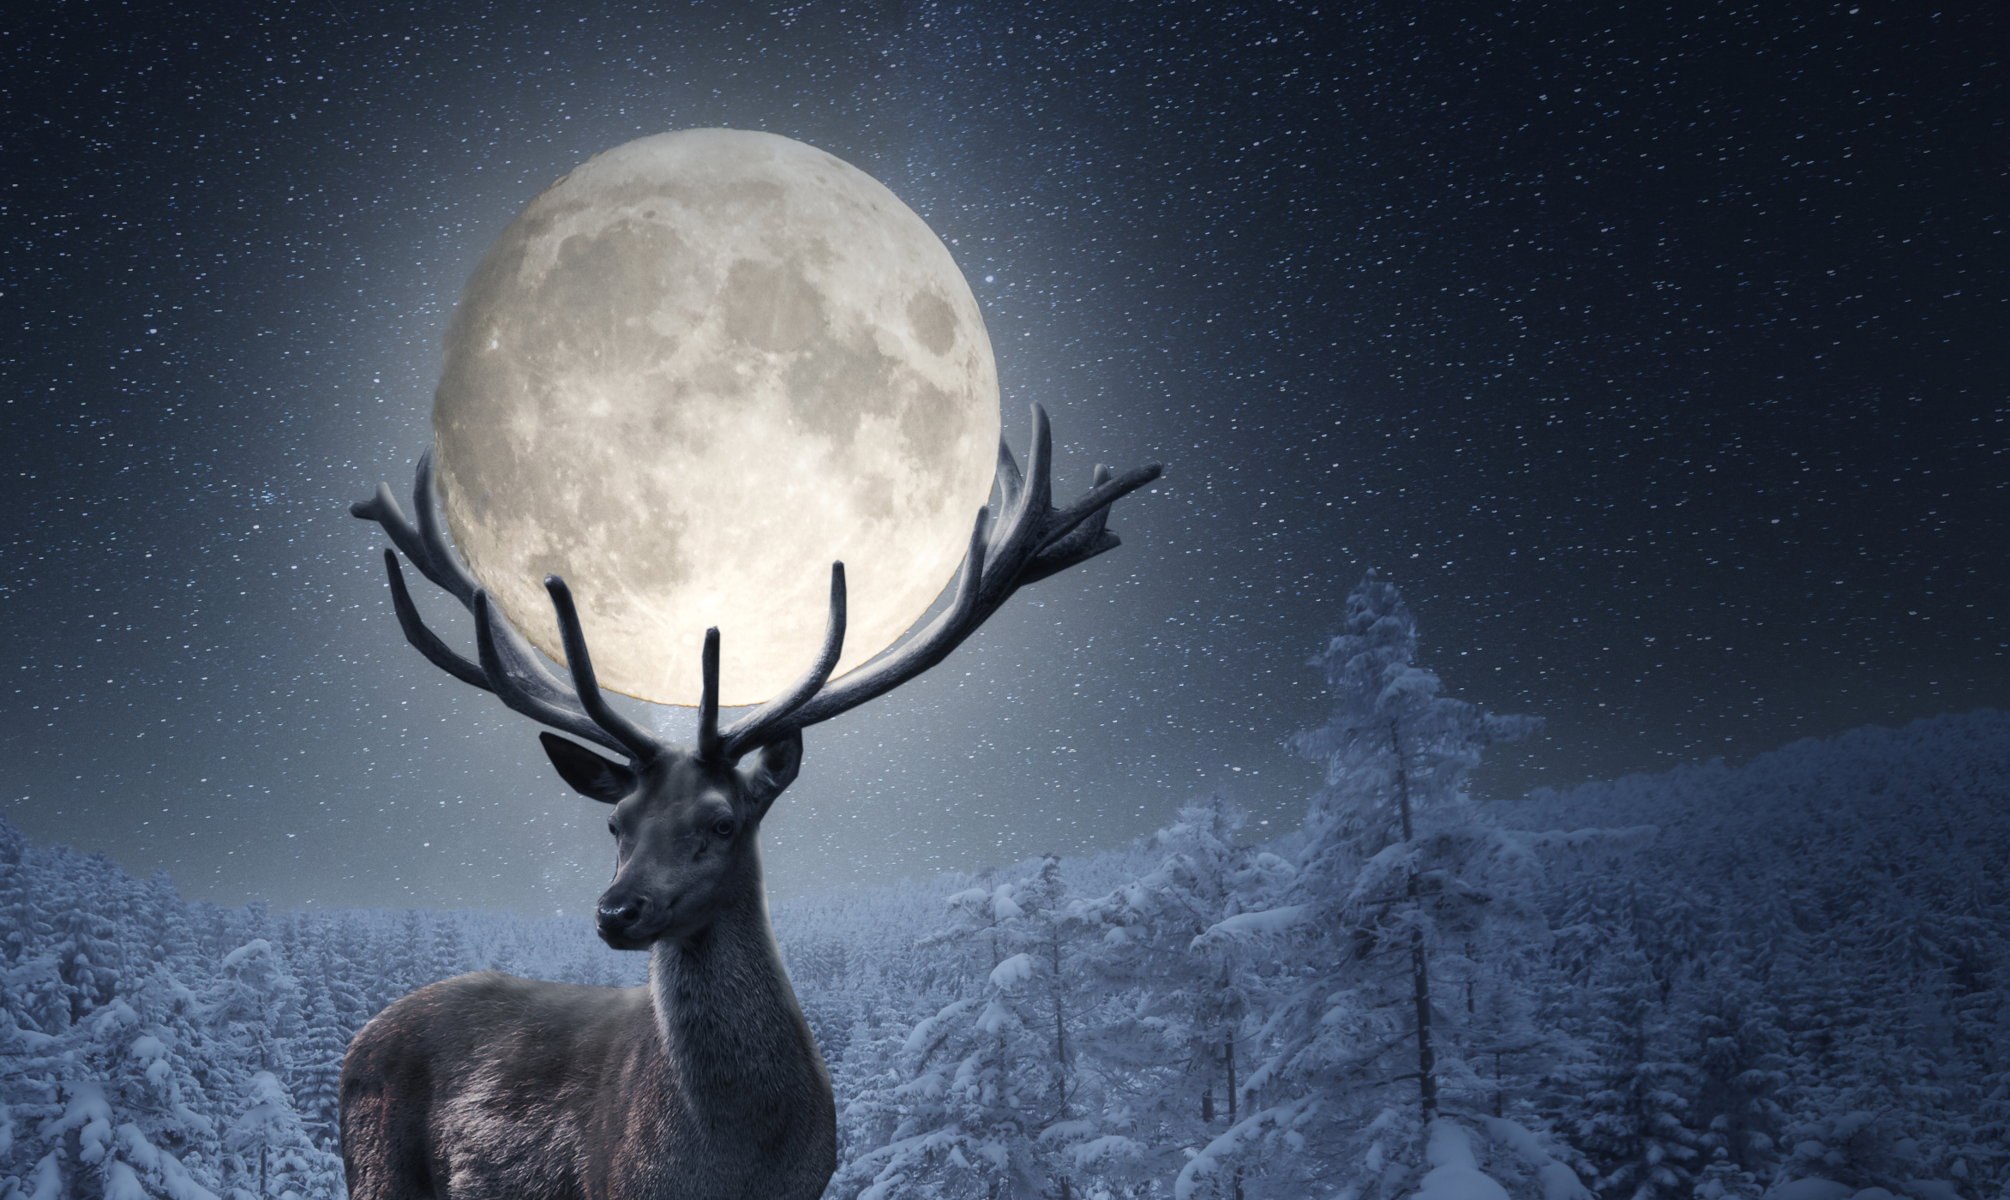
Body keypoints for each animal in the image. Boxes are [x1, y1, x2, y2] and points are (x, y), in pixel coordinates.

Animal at [338, 403, 1160, 1200]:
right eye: (615, 822)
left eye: (722, 820)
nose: (617, 911)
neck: (733, 1158)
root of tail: (364, 1035)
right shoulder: (612, 1186)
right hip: (378, 1172)